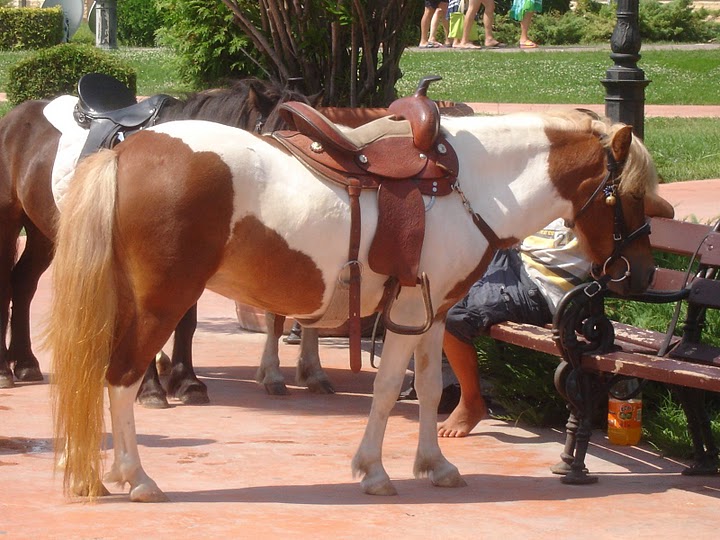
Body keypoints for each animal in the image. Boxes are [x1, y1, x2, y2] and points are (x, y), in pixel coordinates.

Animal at [0, 78, 312, 402]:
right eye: (278, 139)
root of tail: (14, 117)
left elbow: (186, 321)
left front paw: (187, 382)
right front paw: (149, 388)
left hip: (42, 233)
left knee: (23, 283)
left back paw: (25, 363)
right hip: (8, 221)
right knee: (6, 286)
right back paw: (5, 371)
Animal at [46, 109, 668, 502]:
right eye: (633, 196)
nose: (641, 274)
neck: (470, 184)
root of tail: (130, 150)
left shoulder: (435, 314)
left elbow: (427, 386)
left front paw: (434, 465)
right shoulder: (411, 312)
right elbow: (391, 387)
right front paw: (374, 470)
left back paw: (92, 474)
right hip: (162, 302)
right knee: (121, 377)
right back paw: (136, 477)